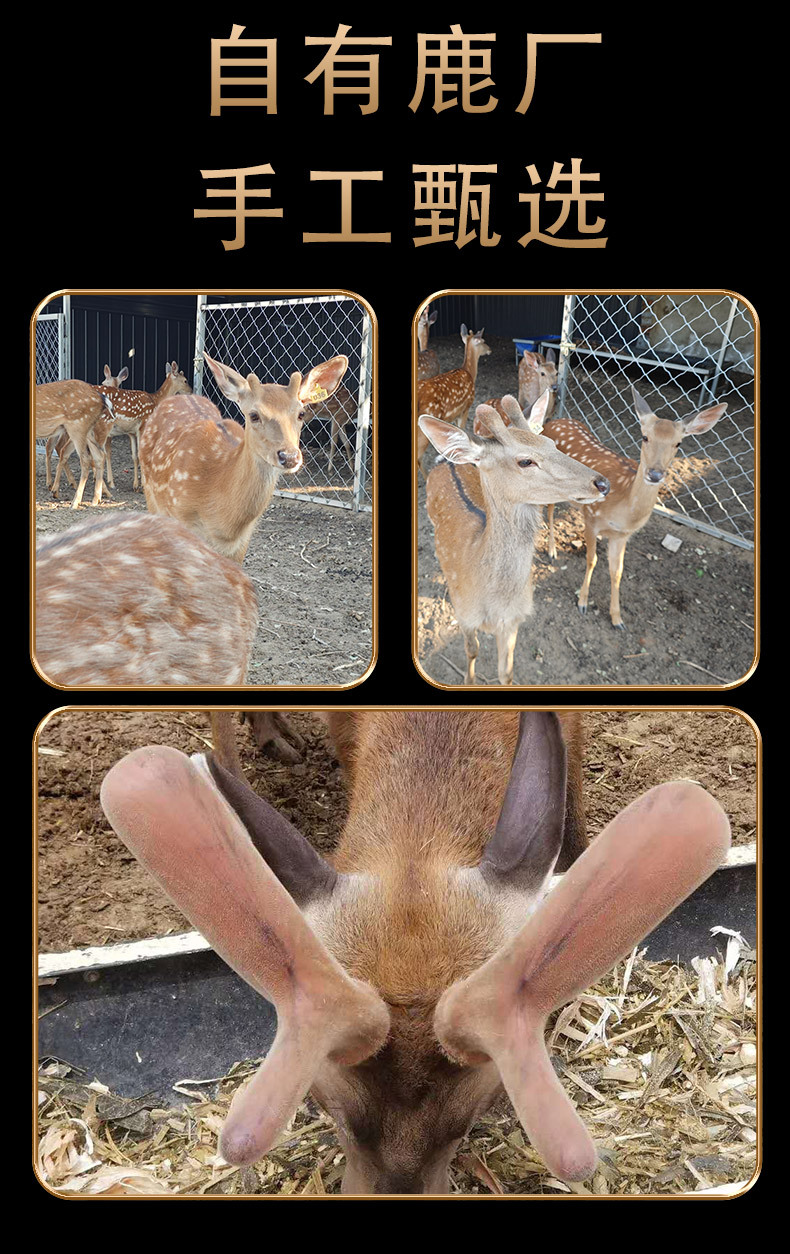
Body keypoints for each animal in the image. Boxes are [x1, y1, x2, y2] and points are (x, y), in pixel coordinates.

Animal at [35, 380, 117, 509]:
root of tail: (101, 398)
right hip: (87, 430)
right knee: (99, 455)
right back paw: (96, 499)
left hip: (77, 426)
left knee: (86, 459)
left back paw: (75, 502)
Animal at [139, 353, 349, 564]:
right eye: (254, 415)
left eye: (301, 413)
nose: (289, 456)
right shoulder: (181, 516)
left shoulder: (242, 543)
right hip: (151, 493)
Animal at [419, 393, 610, 685]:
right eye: (525, 461)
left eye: (552, 444)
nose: (602, 483)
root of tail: (445, 460)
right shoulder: (464, 615)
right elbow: (472, 650)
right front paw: (468, 680)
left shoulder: (513, 621)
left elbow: (506, 672)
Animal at [543, 385, 728, 629]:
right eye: (645, 436)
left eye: (678, 443)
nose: (655, 474)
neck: (623, 505)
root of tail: (552, 422)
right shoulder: (591, 519)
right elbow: (592, 560)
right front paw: (582, 603)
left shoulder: (622, 535)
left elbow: (617, 571)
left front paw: (617, 618)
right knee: (548, 510)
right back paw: (552, 551)